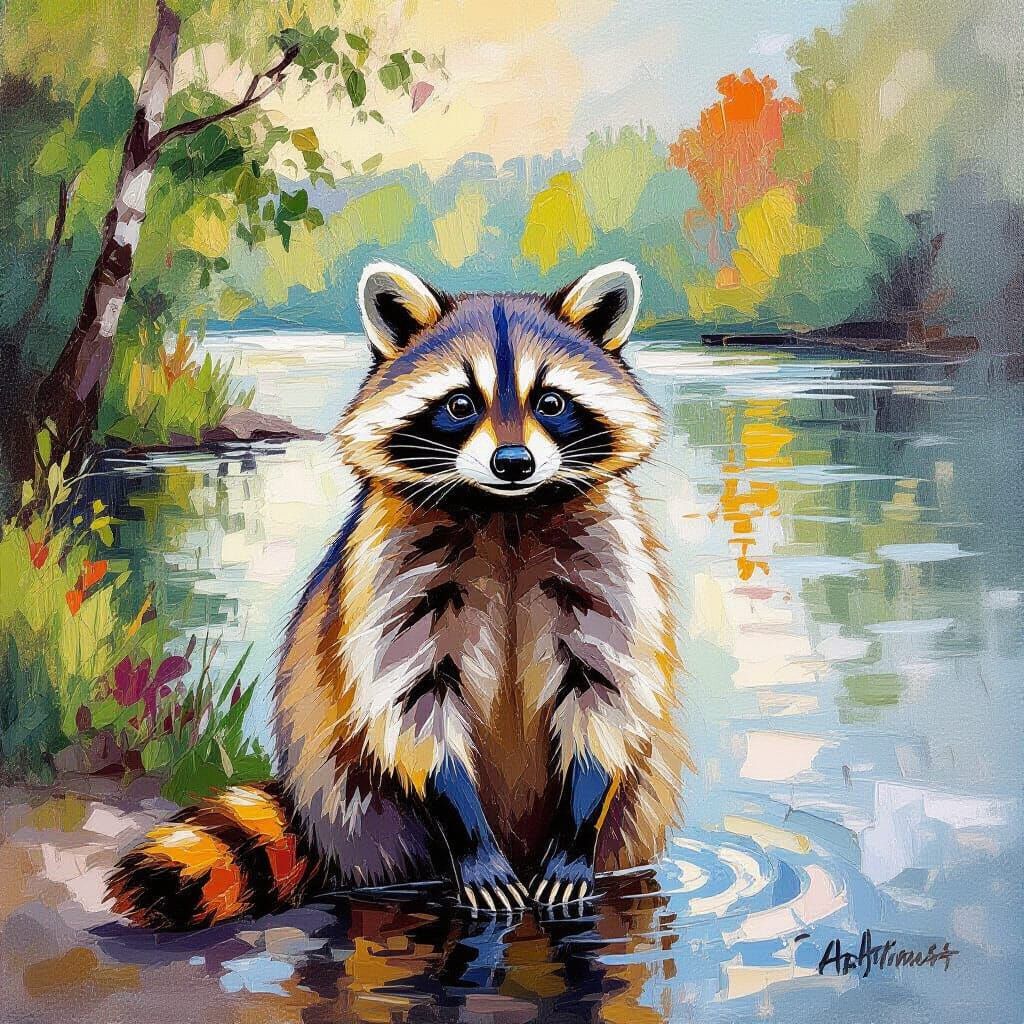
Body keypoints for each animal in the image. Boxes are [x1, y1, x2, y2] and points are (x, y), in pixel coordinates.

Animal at [107, 260, 691, 929]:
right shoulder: (389, 571)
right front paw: (468, 835)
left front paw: (576, 831)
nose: (513, 461)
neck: (506, 513)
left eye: (550, 402)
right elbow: (413, 703)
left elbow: (604, 694)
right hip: (357, 809)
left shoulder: (610, 562)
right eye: (461, 404)